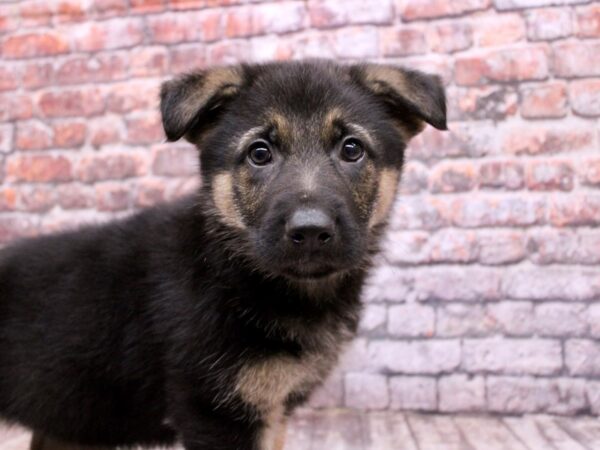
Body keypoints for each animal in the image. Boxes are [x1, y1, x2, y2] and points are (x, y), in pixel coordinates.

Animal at [0, 60, 446, 450]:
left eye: (352, 149)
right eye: (259, 153)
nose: (310, 232)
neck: (232, 272)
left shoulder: (271, 413)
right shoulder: (218, 414)